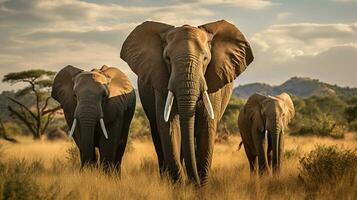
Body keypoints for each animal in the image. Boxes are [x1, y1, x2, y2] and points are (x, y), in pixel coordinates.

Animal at [119, 19, 253, 185]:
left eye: (205, 58)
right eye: (167, 58)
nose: (193, 181)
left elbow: (206, 126)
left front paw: (200, 187)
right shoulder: (161, 81)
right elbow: (169, 126)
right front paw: (179, 186)